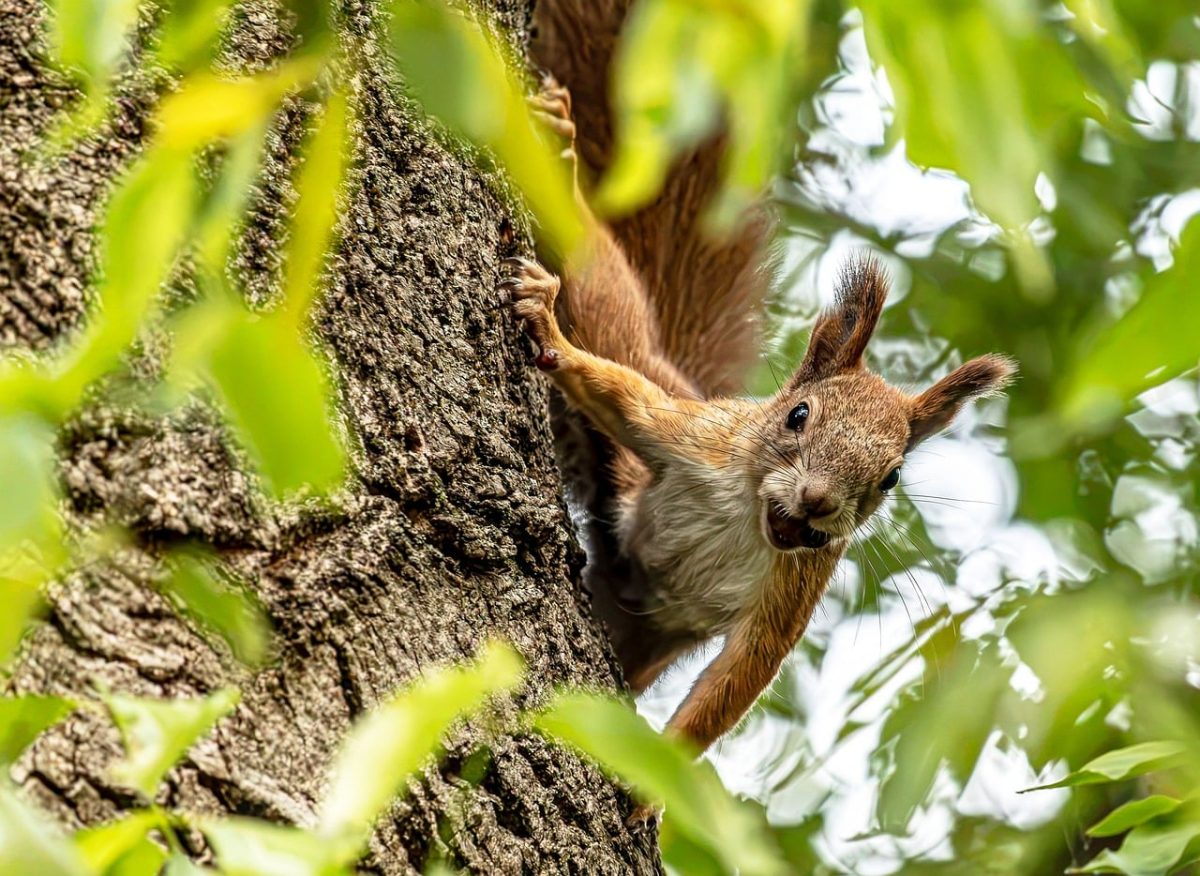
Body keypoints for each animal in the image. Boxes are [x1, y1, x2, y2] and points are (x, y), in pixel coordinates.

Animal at [515, 4, 1016, 765]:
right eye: (798, 415)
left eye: (893, 478)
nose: (817, 504)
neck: (750, 513)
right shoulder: (694, 439)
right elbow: (622, 398)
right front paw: (555, 342)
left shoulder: (795, 587)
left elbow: (739, 679)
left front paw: (653, 778)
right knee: (610, 304)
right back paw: (562, 159)